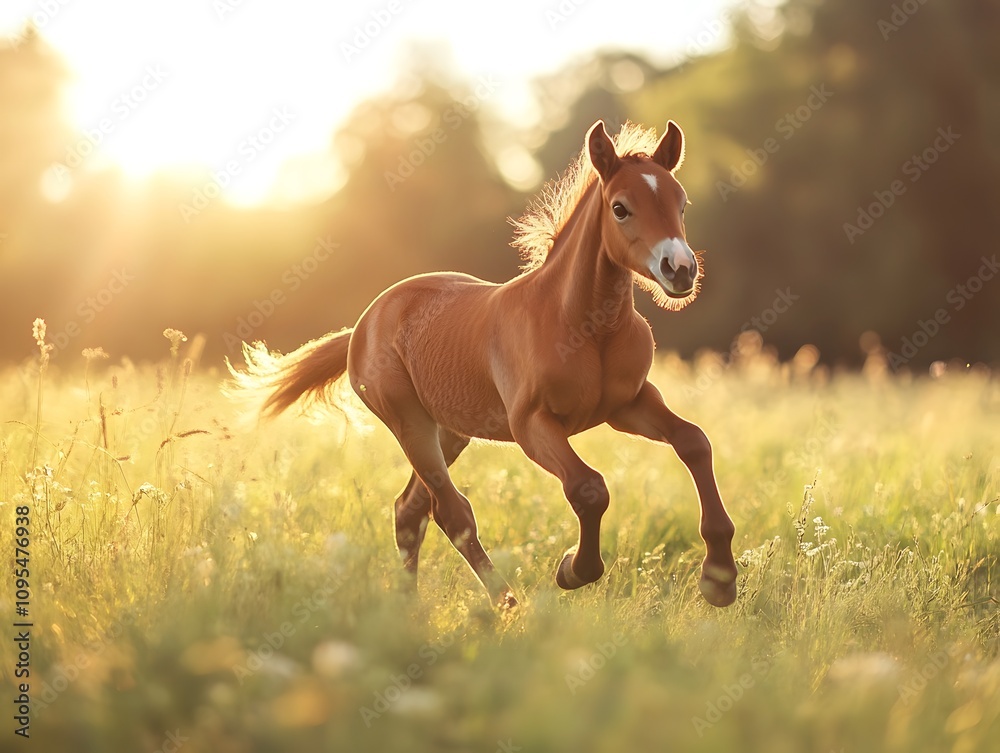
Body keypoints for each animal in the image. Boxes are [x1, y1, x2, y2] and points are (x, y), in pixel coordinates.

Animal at [229, 120, 738, 610]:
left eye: (682, 204)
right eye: (620, 208)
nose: (680, 269)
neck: (585, 326)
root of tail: (363, 323)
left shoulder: (628, 405)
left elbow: (694, 442)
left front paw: (719, 581)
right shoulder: (531, 424)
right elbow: (589, 488)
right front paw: (572, 570)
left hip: (451, 430)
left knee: (409, 510)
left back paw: (410, 609)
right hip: (409, 422)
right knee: (450, 512)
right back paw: (505, 603)